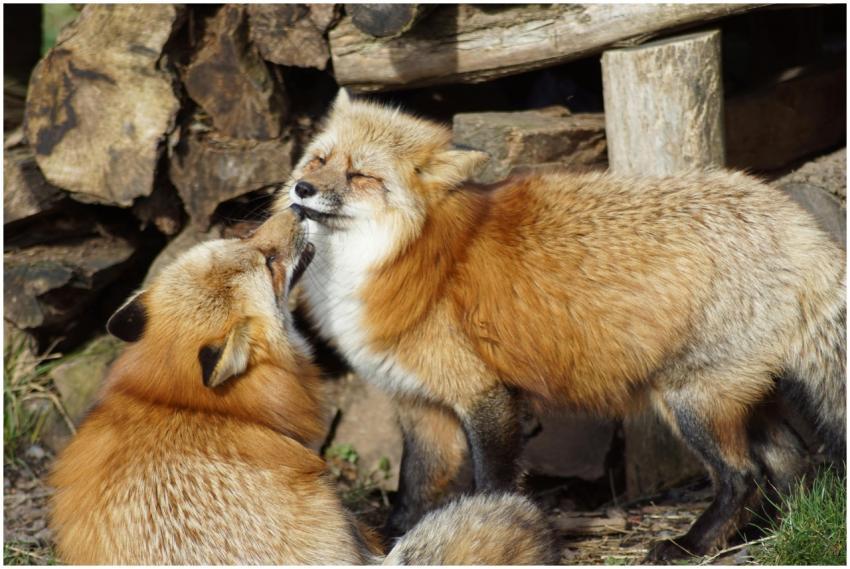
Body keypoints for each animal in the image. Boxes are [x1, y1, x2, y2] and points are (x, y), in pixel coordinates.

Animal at [277, 90, 847, 562]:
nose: (302, 188)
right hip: (741, 394)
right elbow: (411, 491)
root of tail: (798, 225)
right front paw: (395, 537)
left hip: (691, 401)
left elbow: (491, 481)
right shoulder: (420, 406)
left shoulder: (485, 395)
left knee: (743, 476)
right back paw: (773, 533)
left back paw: (691, 544)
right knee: (793, 463)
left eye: (362, 176)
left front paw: (497, 527)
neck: (402, 254)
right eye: (320, 159)